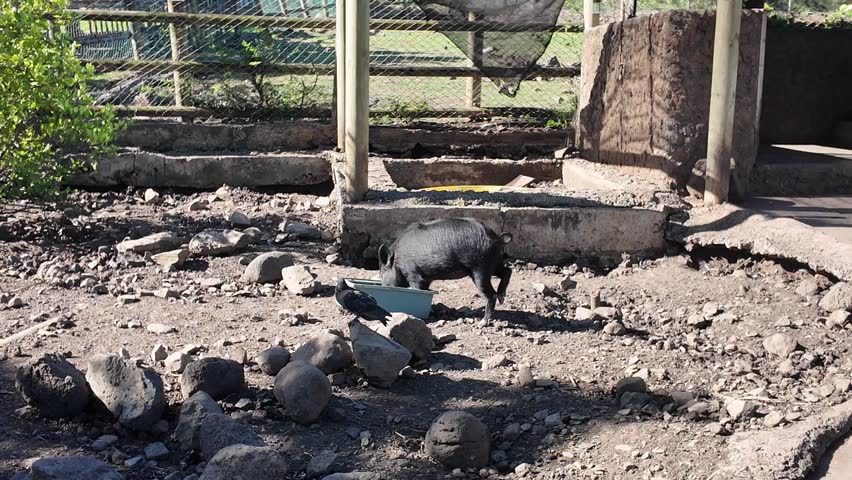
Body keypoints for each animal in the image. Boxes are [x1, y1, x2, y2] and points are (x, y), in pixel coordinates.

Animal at [377, 218, 512, 322]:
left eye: (382, 273)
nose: (383, 285)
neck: (397, 260)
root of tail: (496, 237)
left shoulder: (413, 272)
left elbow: (418, 289)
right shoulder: (426, 278)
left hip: (480, 268)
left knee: (491, 294)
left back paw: (483, 322)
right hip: (493, 263)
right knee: (507, 271)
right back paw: (501, 298)